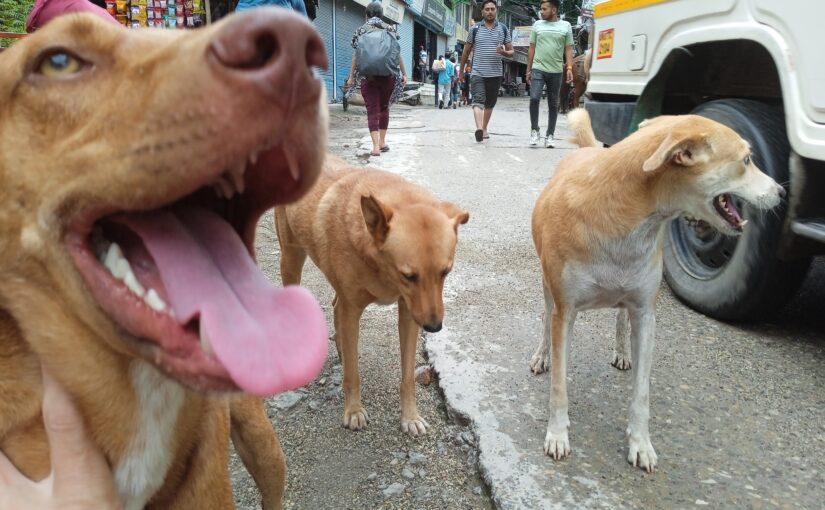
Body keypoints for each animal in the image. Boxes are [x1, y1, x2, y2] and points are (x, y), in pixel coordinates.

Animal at [276, 154, 470, 434]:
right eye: (409, 276)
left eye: (446, 272)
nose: (434, 327)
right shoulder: (352, 311)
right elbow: (353, 375)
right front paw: (354, 411)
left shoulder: (409, 314)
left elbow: (408, 376)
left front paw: (410, 417)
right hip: (291, 260)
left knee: (335, 307)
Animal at [532, 109, 784, 472]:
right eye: (747, 160)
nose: (781, 192)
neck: (624, 215)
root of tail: (589, 149)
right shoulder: (565, 312)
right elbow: (559, 385)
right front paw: (557, 433)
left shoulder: (646, 314)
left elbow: (641, 392)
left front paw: (640, 442)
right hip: (547, 287)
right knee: (545, 317)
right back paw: (542, 354)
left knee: (621, 317)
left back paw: (623, 351)